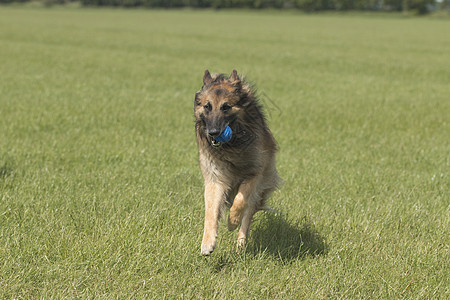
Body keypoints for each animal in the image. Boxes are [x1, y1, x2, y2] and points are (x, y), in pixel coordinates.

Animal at [194, 69, 282, 254]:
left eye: (226, 107)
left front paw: (232, 221)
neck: (232, 145)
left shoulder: (255, 173)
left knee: (247, 217)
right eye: (207, 106)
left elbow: (241, 200)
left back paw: (240, 245)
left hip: (259, 189)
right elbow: (210, 212)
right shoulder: (215, 179)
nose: (213, 132)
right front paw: (207, 243)